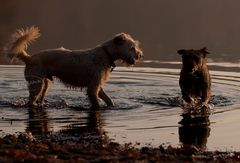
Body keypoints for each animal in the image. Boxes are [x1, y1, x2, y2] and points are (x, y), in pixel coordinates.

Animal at [4, 26, 142, 108]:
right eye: (132, 47)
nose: (140, 54)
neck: (106, 54)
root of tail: (29, 58)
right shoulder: (92, 88)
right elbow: (96, 102)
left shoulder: (97, 85)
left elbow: (108, 99)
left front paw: (112, 105)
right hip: (36, 84)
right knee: (31, 100)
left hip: (45, 83)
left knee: (40, 96)